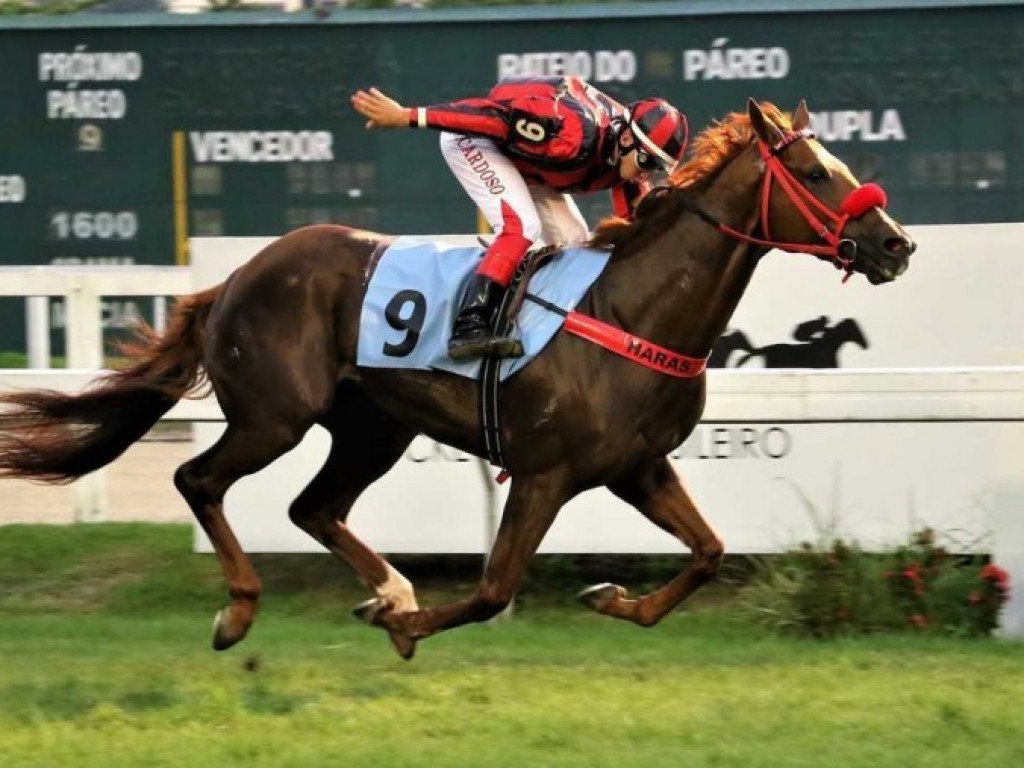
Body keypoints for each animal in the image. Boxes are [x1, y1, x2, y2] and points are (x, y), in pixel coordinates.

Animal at [0, 99, 913, 659]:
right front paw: (410, 627)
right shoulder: (546, 472)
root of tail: (233, 278)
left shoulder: (638, 467)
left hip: (372, 427)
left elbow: (710, 554)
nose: (896, 243)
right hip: (273, 416)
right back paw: (242, 607)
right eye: (819, 173)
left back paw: (385, 588)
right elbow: (491, 588)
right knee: (200, 480)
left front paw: (609, 598)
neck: (633, 309)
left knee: (313, 507)